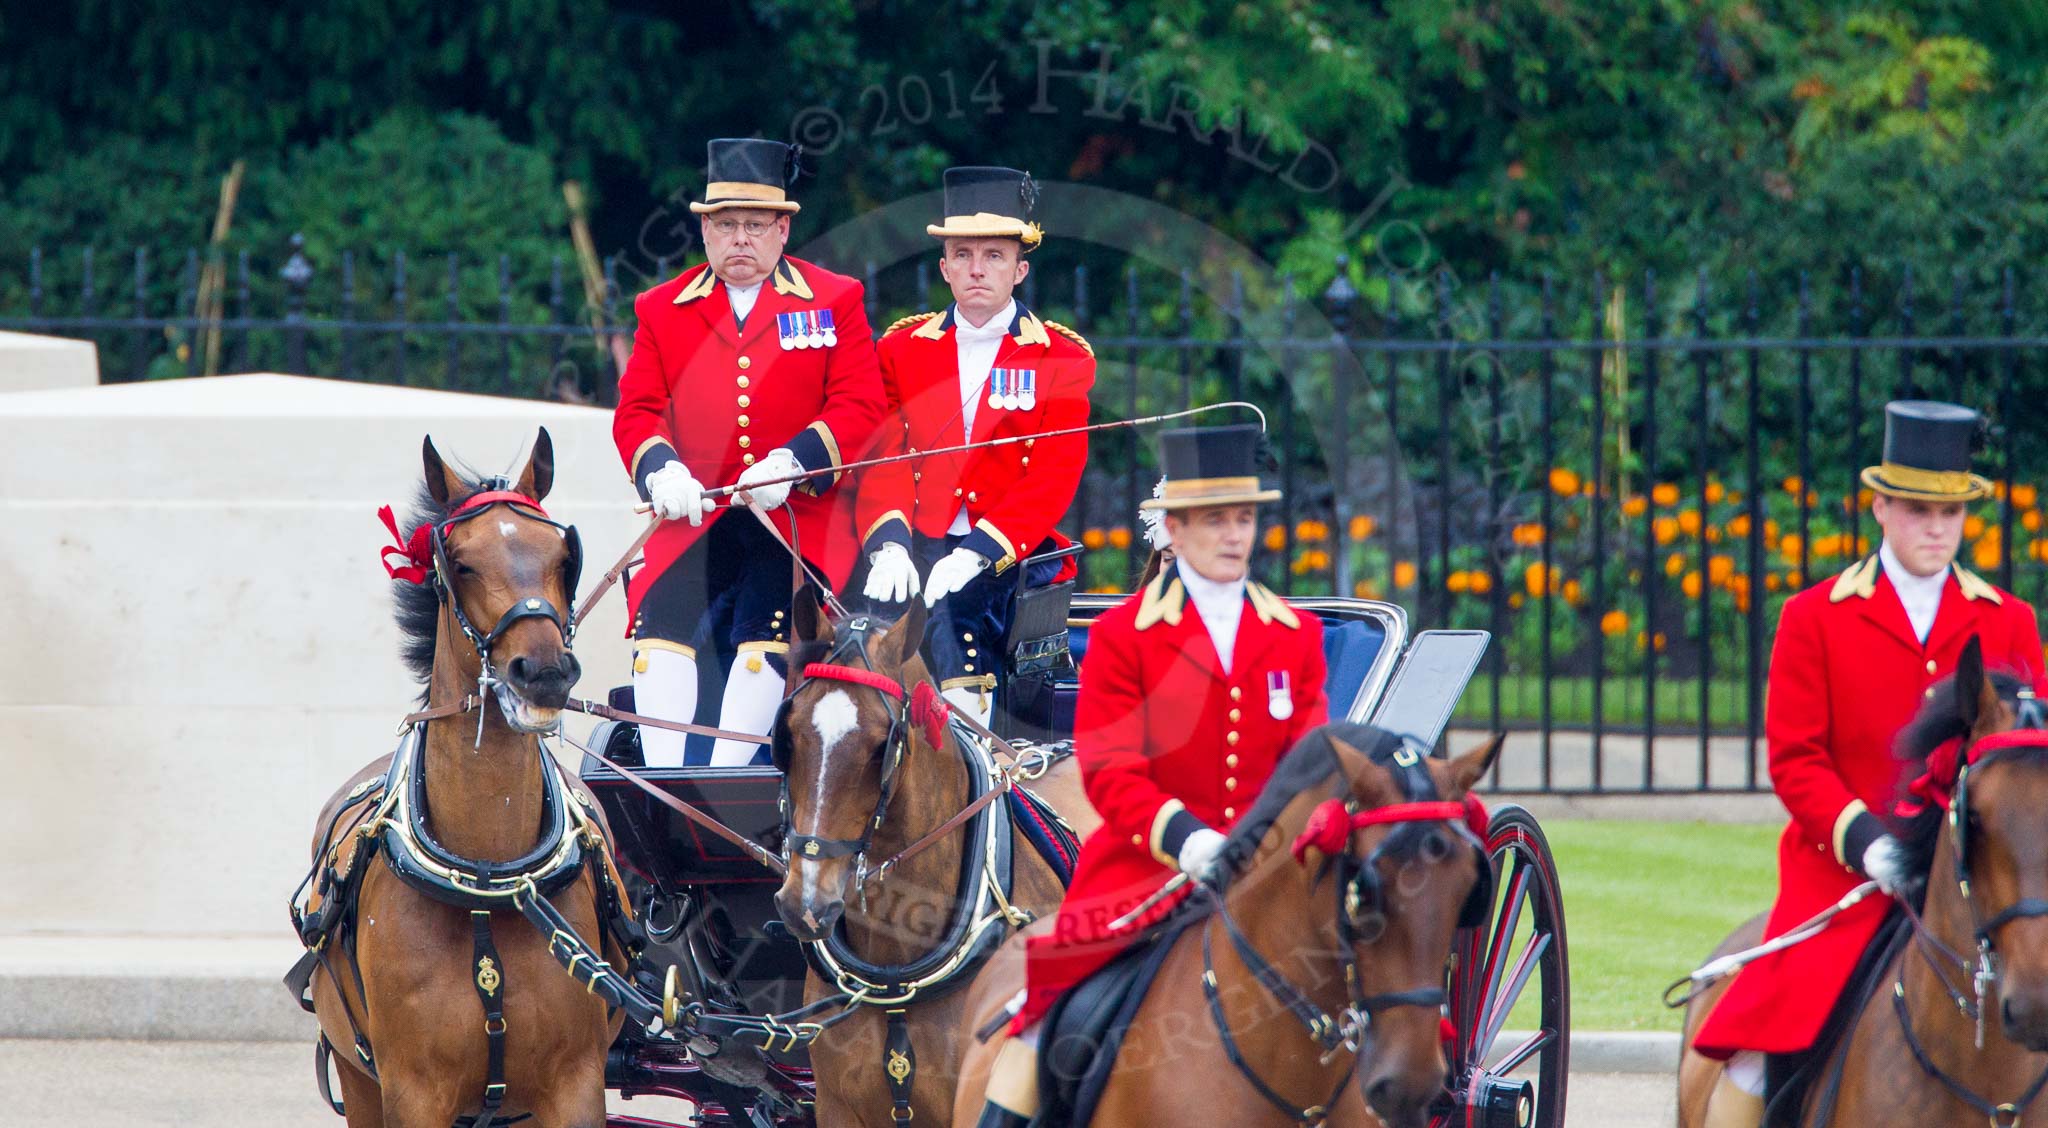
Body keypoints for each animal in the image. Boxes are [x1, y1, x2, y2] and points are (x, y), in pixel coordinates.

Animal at [288, 427, 622, 1121]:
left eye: (562, 556)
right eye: (460, 563)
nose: (543, 671)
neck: (488, 879)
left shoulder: (576, 1084)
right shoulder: (413, 1092)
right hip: (360, 1081)